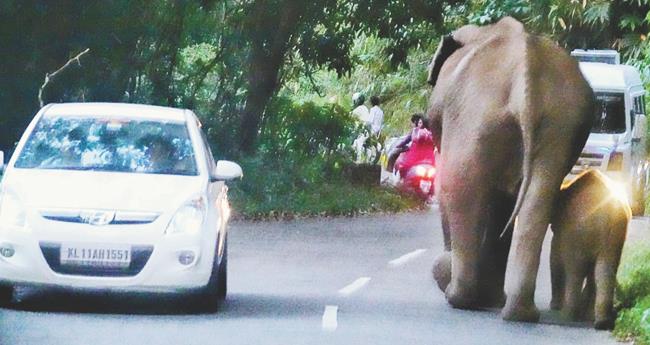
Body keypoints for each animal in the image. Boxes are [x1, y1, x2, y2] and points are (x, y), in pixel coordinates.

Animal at [426, 17, 592, 322]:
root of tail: (526, 81)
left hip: (477, 115)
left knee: (459, 186)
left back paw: (457, 294)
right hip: (558, 124)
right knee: (537, 201)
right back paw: (519, 313)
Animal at [548, 169, 624, 328]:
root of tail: (606, 213)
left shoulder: (563, 231)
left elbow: (555, 260)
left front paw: (554, 307)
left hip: (579, 233)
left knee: (575, 270)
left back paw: (568, 315)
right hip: (614, 235)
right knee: (604, 268)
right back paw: (600, 322)